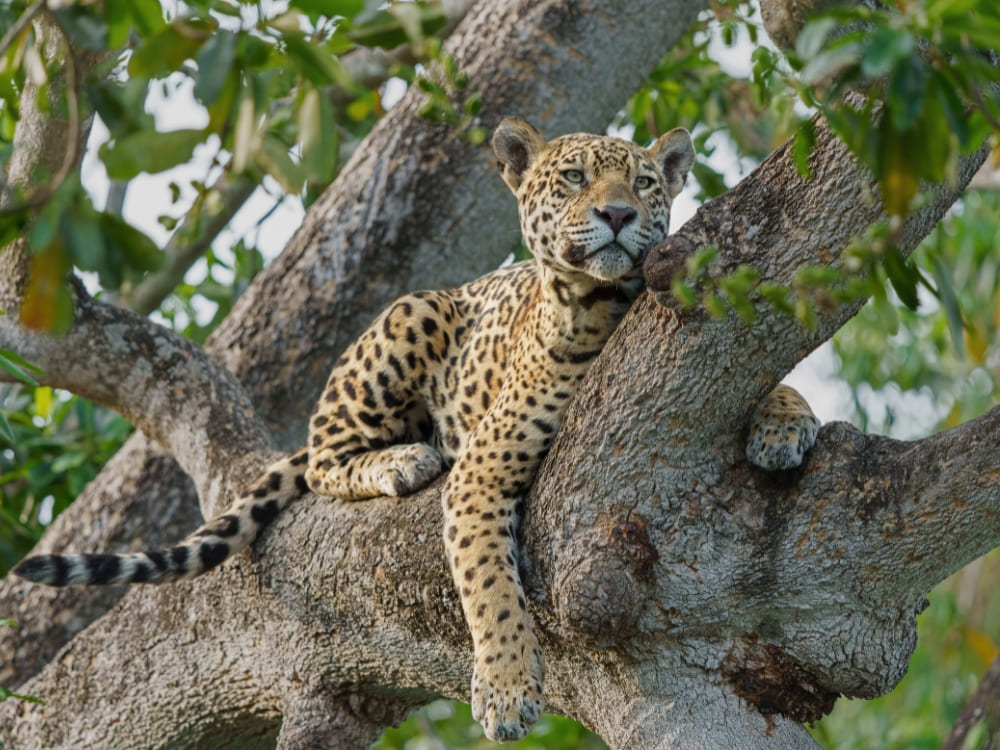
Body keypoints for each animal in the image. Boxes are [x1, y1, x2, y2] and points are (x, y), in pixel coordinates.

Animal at [12, 117, 819, 742]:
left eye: (646, 184)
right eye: (574, 178)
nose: (619, 214)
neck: (608, 306)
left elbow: (778, 379)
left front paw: (784, 426)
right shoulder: (482, 472)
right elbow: (489, 585)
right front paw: (505, 690)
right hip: (409, 316)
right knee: (326, 455)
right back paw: (401, 459)